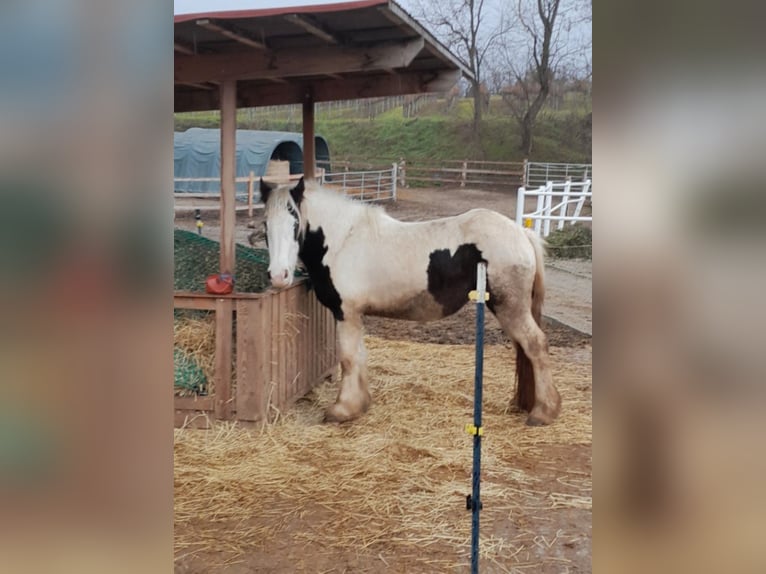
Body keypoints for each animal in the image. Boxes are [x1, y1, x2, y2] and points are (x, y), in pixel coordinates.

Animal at [260, 179, 560, 428]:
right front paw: (360, 404)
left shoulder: (347, 313)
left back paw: (544, 412)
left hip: (510, 308)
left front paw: (342, 410)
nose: (278, 276)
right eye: (265, 226)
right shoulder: (355, 316)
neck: (344, 240)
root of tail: (520, 233)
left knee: (535, 345)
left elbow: (348, 358)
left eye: (295, 224)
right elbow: (359, 356)